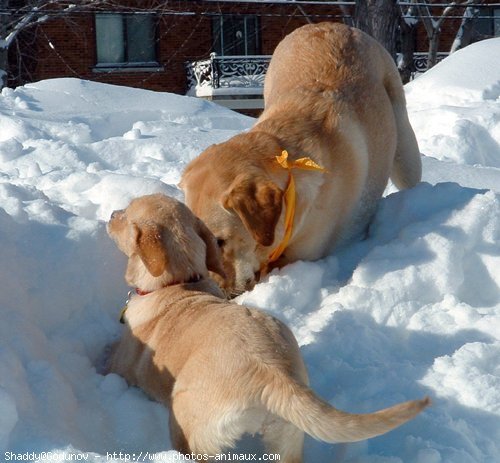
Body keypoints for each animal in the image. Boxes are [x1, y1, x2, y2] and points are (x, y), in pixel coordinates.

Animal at [107, 194, 428, 462]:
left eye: (125, 214)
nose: (111, 214)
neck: (180, 281)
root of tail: (273, 373)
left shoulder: (120, 366)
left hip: (188, 423)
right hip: (287, 436)